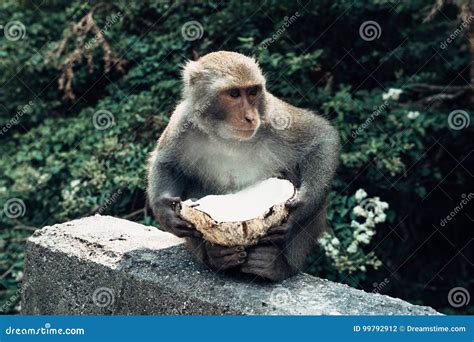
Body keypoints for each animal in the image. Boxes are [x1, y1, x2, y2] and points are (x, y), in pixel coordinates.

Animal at [146, 50, 338, 280]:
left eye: (253, 92)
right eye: (234, 94)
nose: (250, 117)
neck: (228, 138)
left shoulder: (274, 116)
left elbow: (321, 139)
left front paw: (299, 208)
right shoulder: (183, 121)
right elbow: (167, 162)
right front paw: (166, 213)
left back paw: (275, 265)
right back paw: (217, 257)